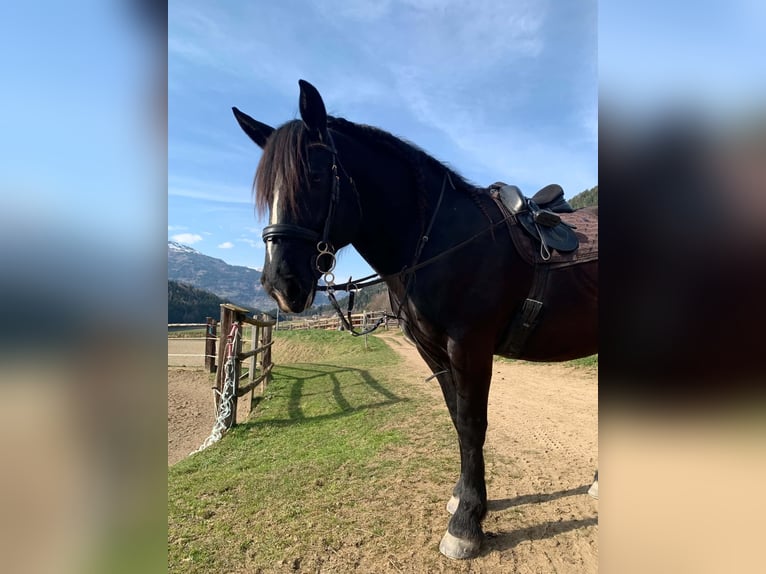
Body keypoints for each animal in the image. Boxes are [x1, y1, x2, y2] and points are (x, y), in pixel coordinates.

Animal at [232, 80, 598, 559]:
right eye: (267, 192)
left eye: (313, 176)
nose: (280, 285)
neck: (442, 238)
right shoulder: (433, 349)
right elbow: (457, 418)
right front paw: (464, 499)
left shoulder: (469, 346)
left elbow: (472, 423)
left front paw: (466, 525)